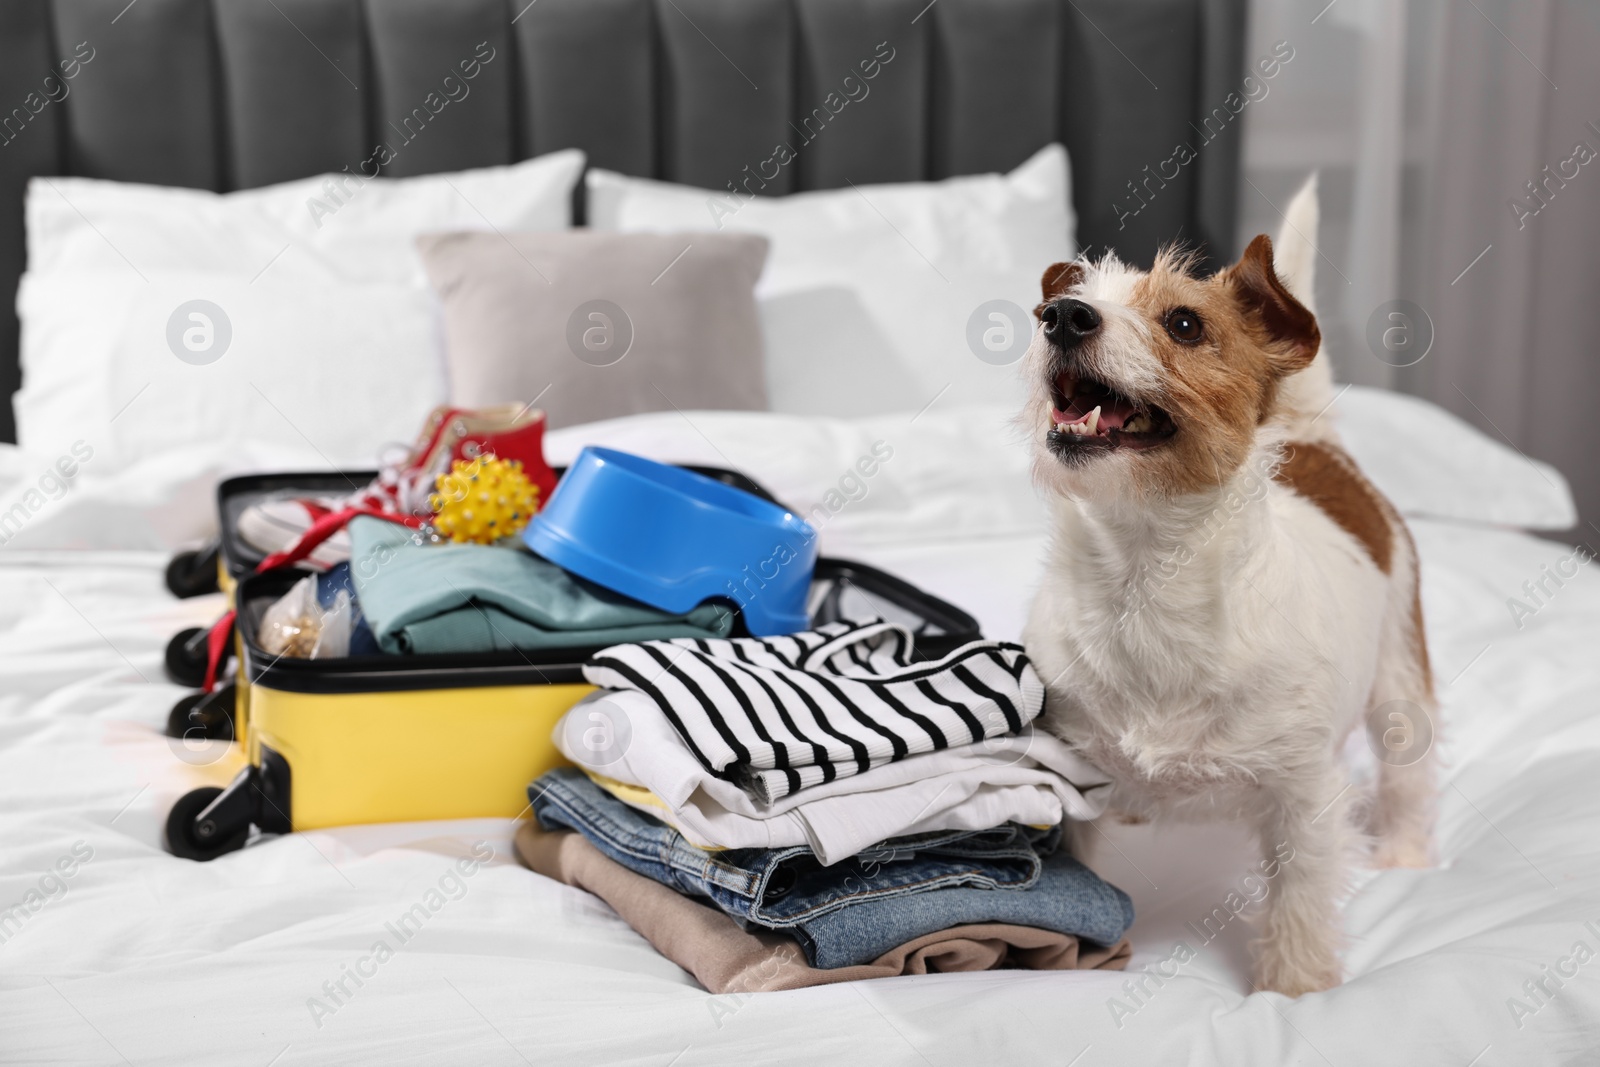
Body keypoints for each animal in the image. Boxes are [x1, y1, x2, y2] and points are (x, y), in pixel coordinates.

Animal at [1024, 179, 1440, 998]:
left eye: (1184, 323)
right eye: (1065, 299)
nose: (1062, 316)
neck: (1146, 575)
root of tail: (1315, 440)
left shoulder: (1303, 798)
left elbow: (1300, 900)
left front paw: (1295, 992)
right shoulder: (1069, 772)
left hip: (1401, 683)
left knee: (1409, 773)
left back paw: (1406, 856)